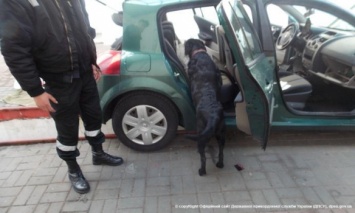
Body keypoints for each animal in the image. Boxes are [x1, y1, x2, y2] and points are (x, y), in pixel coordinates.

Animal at [185, 38, 227, 176]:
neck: (200, 53)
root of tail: (213, 117)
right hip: (221, 133)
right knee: (221, 151)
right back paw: (220, 164)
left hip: (200, 132)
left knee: (203, 156)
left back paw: (202, 171)